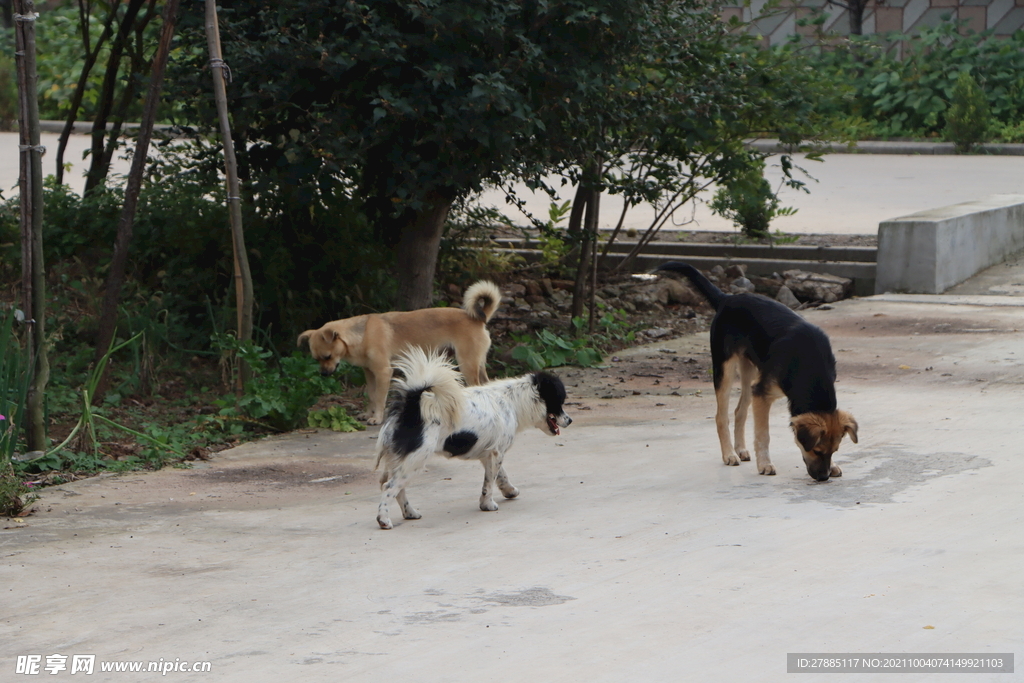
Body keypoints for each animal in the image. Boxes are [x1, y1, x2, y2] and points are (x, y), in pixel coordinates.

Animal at [299, 280, 501, 423]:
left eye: (328, 356)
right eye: (316, 359)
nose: (323, 374)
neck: (362, 334)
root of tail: (478, 319)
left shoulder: (383, 373)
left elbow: (380, 398)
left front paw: (377, 418)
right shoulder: (370, 374)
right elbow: (371, 395)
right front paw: (368, 414)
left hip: (467, 364)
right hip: (477, 364)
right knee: (486, 384)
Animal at [374, 350, 573, 532]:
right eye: (560, 401)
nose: (570, 420)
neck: (513, 401)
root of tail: (411, 407)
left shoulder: (490, 454)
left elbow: (501, 475)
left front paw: (509, 491)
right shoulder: (497, 453)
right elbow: (489, 482)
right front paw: (488, 504)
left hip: (400, 460)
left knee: (397, 488)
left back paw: (410, 513)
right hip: (416, 459)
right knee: (389, 487)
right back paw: (384, 519)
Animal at [655, 262, 856, 481]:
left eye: (834, 451)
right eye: (817, 451)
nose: (823, 477)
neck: (809, 366)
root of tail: (727, 298)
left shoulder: (759, 388)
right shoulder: (762, 393)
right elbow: (763, 435)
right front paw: (765, 464)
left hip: (749, 371)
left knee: (739, 410)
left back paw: (740, 450)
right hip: (725, 368)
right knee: (721, 416)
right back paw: (729, 454)